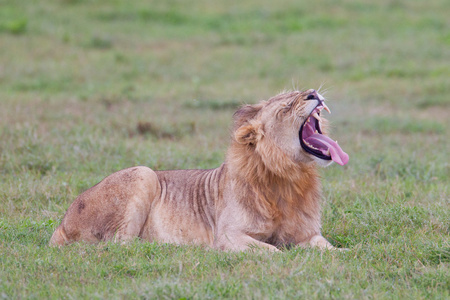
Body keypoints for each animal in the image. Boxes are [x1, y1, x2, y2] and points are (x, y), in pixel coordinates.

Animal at [51, 89, 350, 251]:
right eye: (287, 106)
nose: (314, 93)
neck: (289, 177)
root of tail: (61, 224)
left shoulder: (308, 234)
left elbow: (330, 248)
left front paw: (345, 253)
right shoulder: (228, 236)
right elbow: (274, 251)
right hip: (143, 173)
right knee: (119, 243)